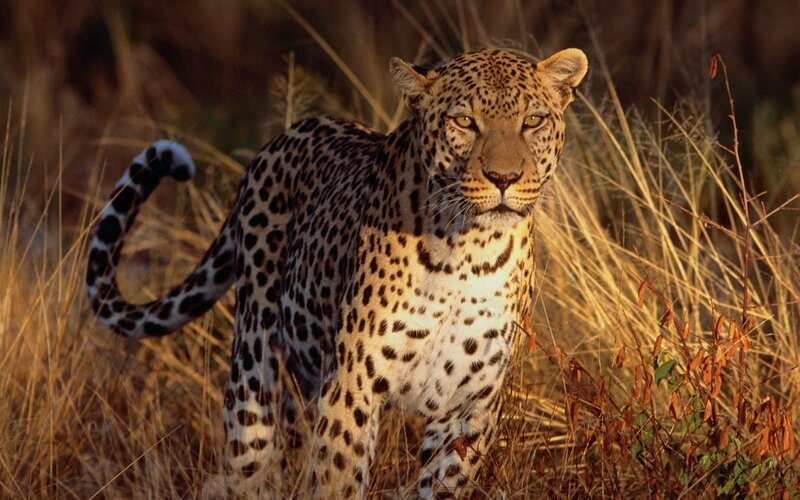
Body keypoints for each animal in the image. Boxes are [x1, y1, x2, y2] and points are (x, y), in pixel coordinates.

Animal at [85, 47, 587, 498]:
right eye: (464, 122)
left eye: (533, 122)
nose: (504, 178)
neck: (469, 253)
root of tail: (284, 136)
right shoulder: (352, 384)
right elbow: (338, 478)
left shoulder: (469, 405)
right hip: (254, 367)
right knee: (247, 462)